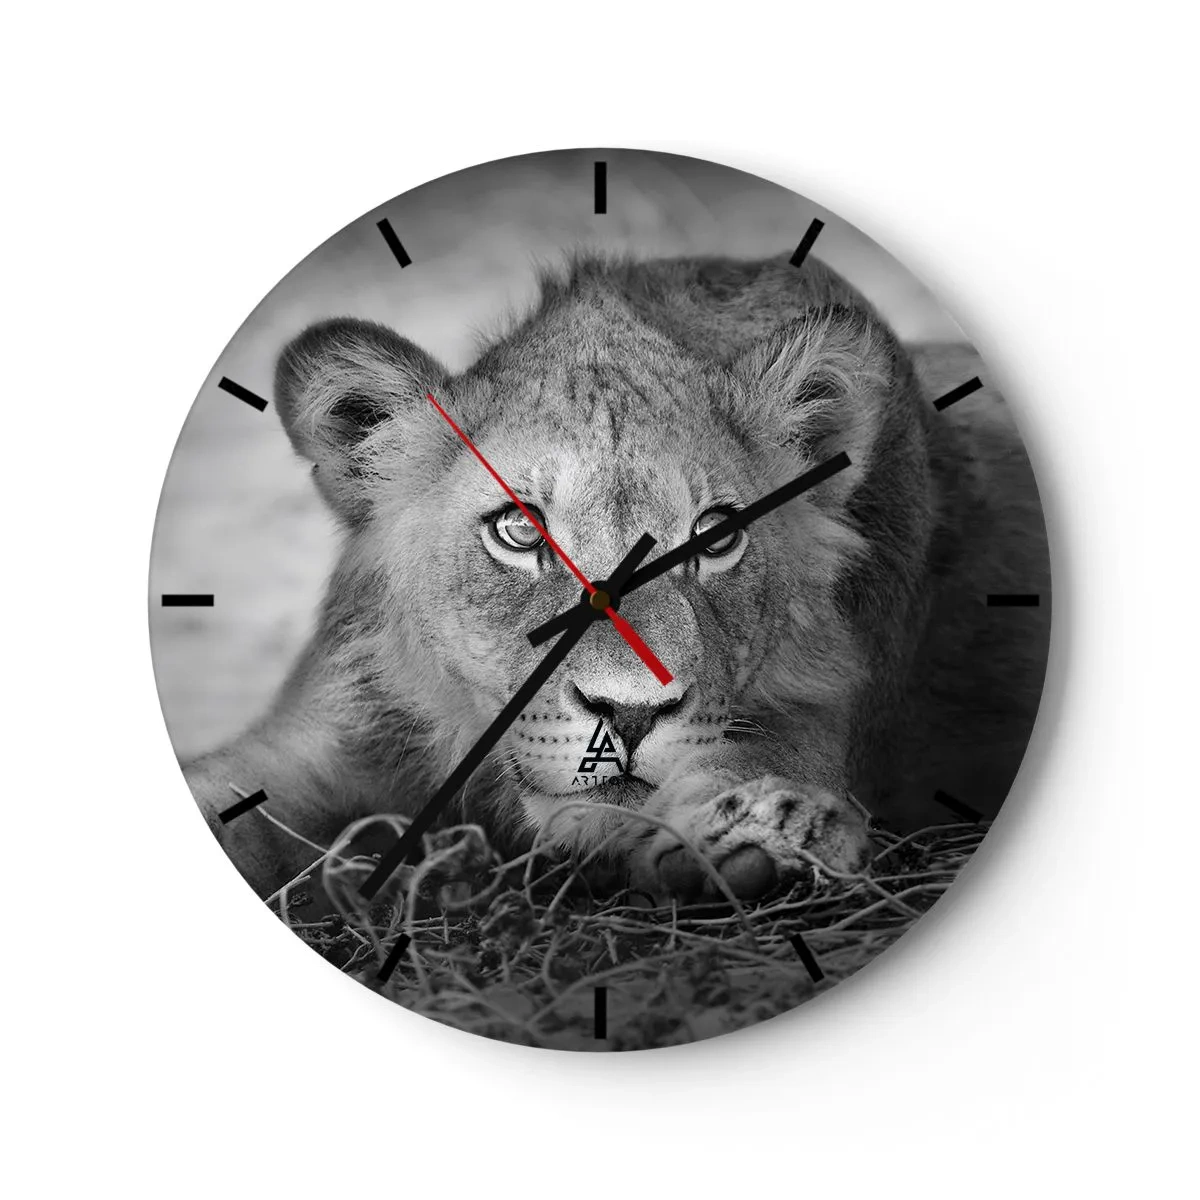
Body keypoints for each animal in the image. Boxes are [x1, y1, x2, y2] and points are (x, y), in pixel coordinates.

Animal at [183, 252, 1050, 904]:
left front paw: (766, 834)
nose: (628, 716)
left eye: (717, 536)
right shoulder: (330, 736)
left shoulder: (821, 701)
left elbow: (763, 758)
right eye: (519, 531)